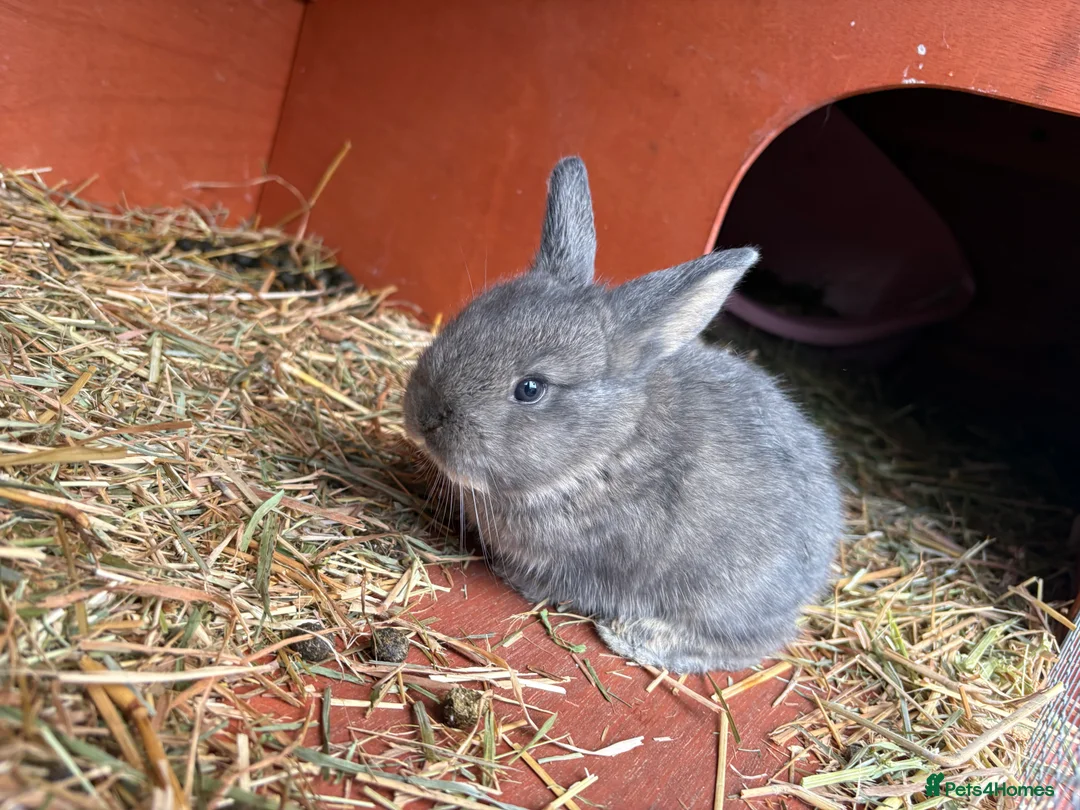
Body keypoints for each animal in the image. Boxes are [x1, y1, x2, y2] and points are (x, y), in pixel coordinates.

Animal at [403, 156, 842, 673]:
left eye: (530, 389)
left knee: (753, 644)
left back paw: (635, 637)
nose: (422, 417)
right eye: (465, 318)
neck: (609, 448)